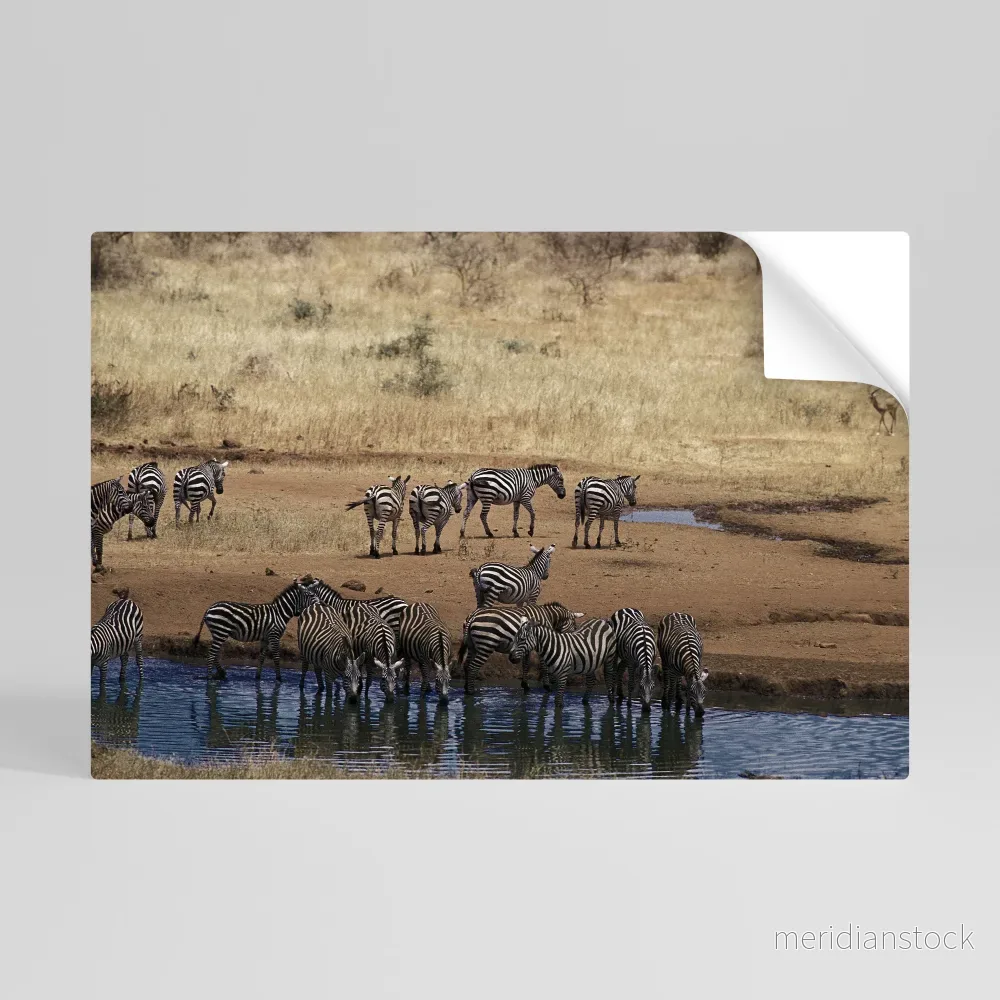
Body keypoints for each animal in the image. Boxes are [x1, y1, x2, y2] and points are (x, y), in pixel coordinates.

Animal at [191, 576, 320, 682]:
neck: (280, 613)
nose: (321, 604)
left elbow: (261, 658)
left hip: (218, 633)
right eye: (311, 595)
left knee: (214, 654)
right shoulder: (274, 635)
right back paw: (209, 678)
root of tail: (209, 609)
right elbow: (276, 657)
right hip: (221, 632)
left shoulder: (265, 638)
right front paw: (279, 679)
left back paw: (221, 673)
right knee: (211, 654)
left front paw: (257, 677)